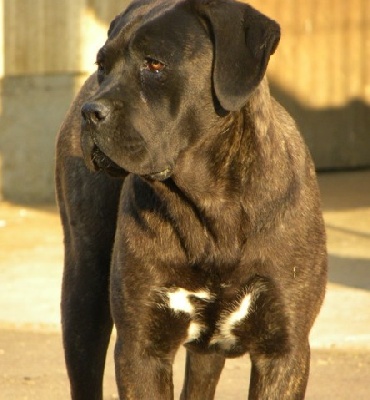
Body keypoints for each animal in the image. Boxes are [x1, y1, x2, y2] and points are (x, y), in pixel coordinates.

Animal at [55, 0, 326, 398]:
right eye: (102, 65)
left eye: (155, 64)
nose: (91, 112)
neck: (211, 205)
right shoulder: (141, 351)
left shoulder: (283, 351)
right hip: (83, 285)